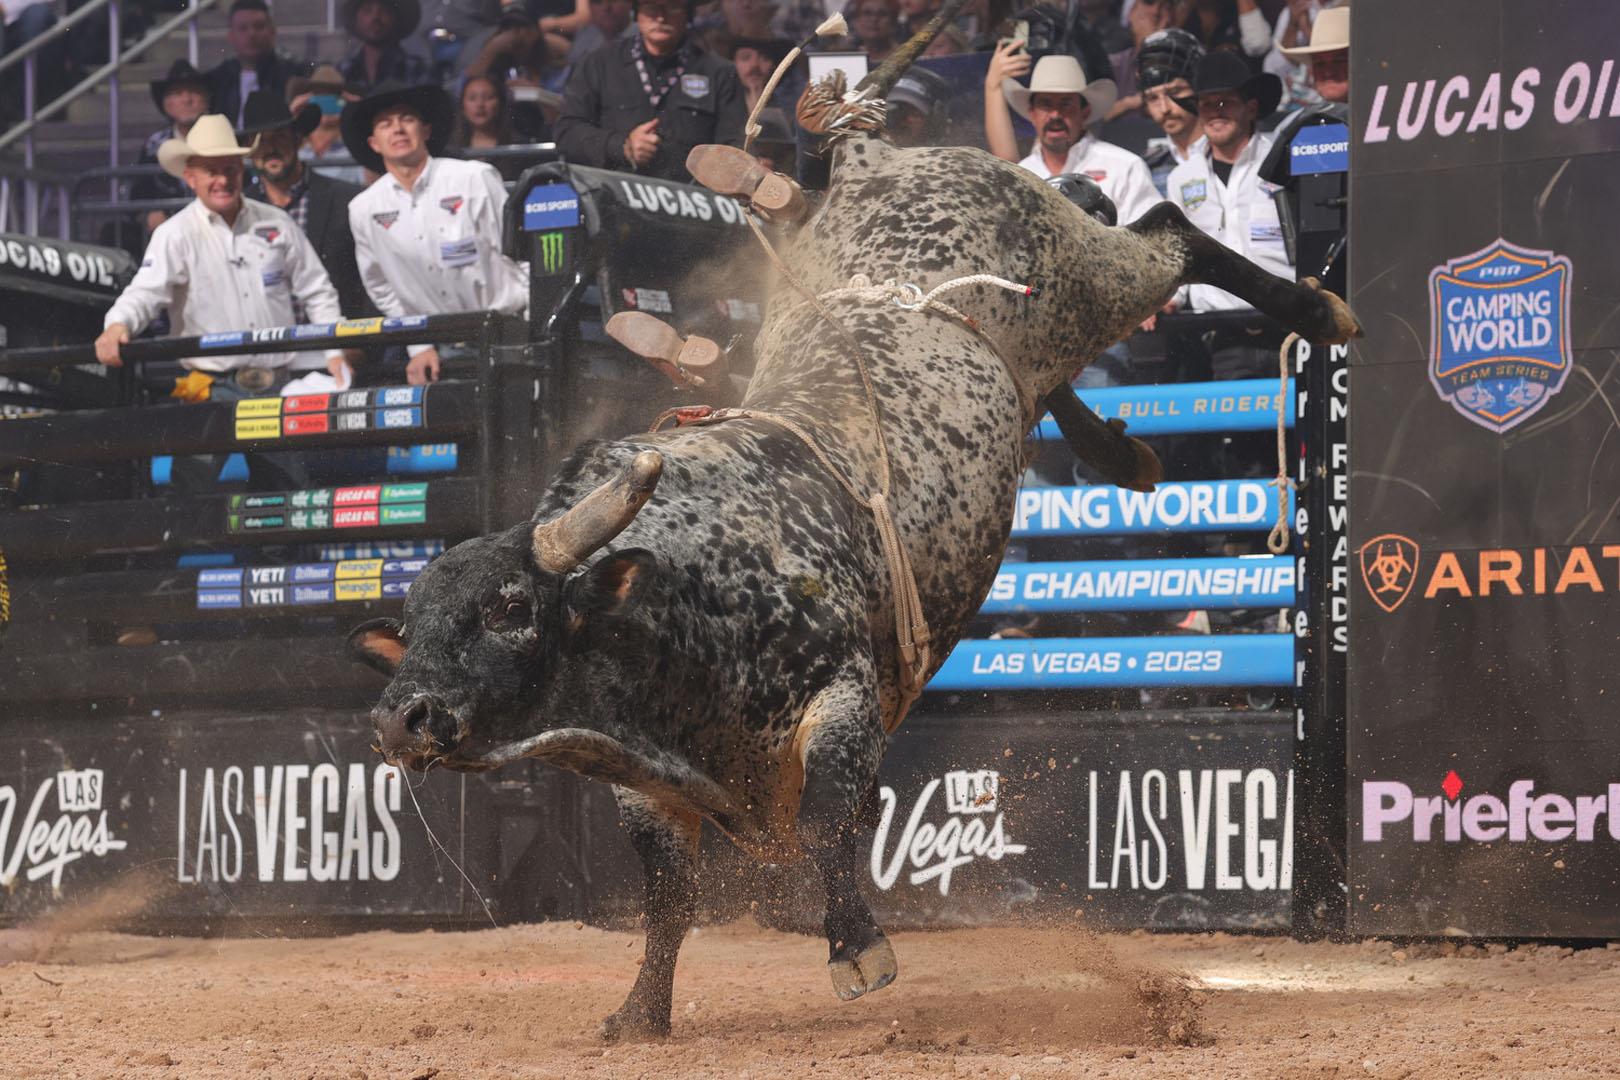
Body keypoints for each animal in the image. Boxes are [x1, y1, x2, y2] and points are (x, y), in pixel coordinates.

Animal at [348, 52, 1360, 1042]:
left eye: (512, 609)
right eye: (414, 623)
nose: (401, 718)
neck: (676, 587)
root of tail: (877, 161)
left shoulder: (841, 696)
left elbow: (827, 825)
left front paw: (857, 951)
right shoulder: (648, 784)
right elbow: (668, 896)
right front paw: (640, 1012)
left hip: (1091, 279)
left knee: (1166, 231)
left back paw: (1321, 311)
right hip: (1032, 348)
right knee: (1060, 359)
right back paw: (1128, 453)